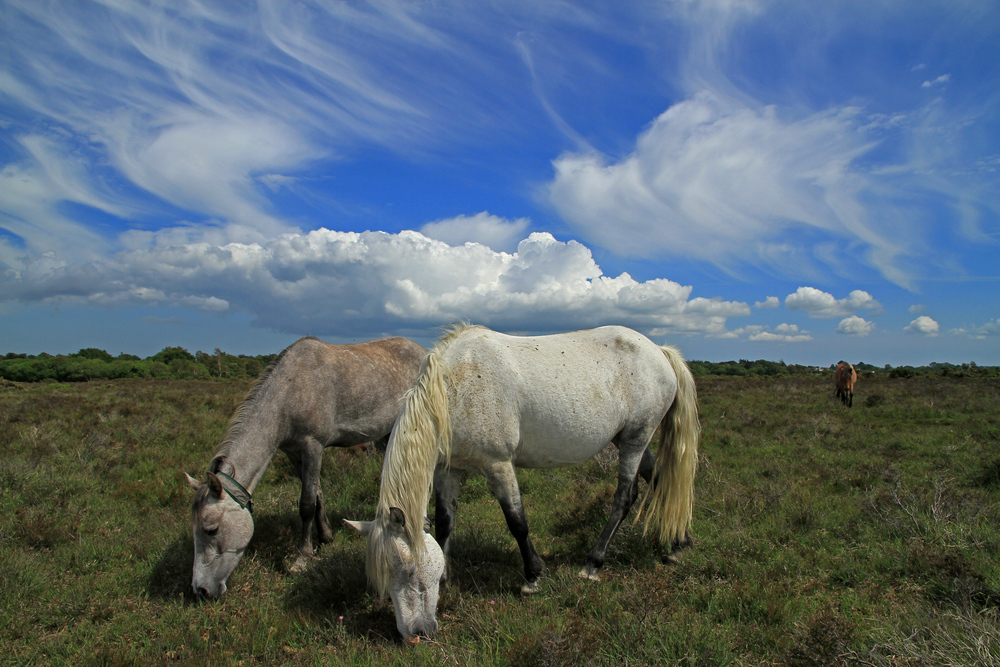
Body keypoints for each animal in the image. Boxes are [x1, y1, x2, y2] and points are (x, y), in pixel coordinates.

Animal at [348, 326, 700, 644]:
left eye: (407, 570)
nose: (415, 634)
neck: (454, 388)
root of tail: (660, 352)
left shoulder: (499, 465)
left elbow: (517, 522)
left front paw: (532, 576)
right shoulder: (449, 470)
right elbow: (446, 524)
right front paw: (446, 576)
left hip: (635, 441)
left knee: (625, 498)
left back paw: (593, 563)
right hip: (628, 440)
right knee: (661, 482)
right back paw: (679, 544)